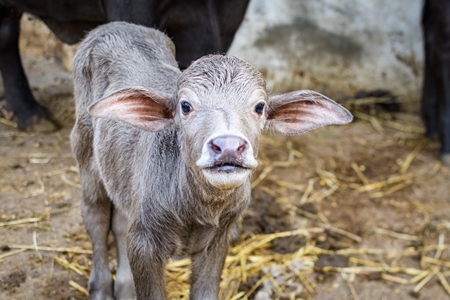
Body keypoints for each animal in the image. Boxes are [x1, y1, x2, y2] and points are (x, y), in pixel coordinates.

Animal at [70, 21, 354, 300]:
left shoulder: (217, 241)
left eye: (259, 107)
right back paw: (100, 290)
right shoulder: (144, 246)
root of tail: (112, 27)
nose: (228, 147)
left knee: (119, 220)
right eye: (185, 106)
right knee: (95, 216)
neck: (198, 208)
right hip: (85, 155)